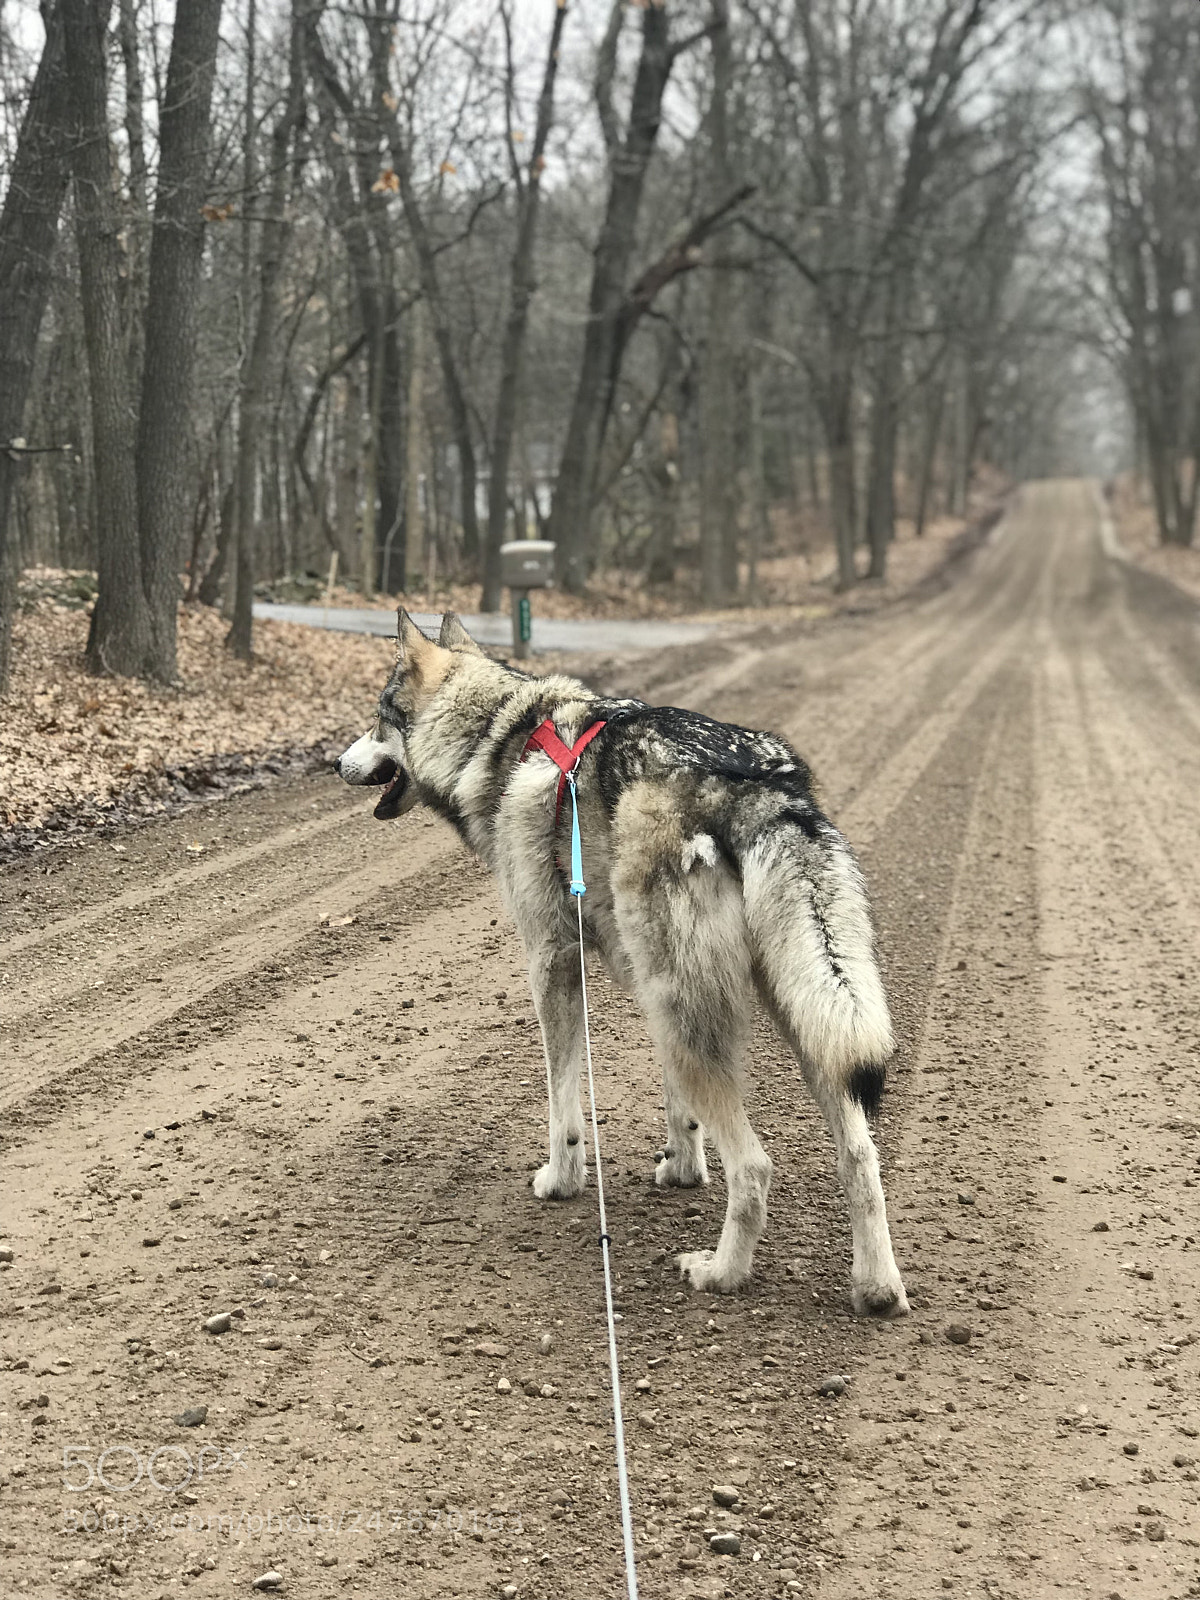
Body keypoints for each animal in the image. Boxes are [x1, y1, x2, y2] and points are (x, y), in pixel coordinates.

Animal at [336, 611, 907, 1315]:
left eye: (377, 719)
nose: (335, 763)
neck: (499, 735)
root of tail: (753, 784)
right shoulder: (645, 992)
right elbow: (678, 1107)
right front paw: (683, 1168)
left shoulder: (553, 961)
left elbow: (563, 1102)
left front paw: (561, 1180)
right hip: (793, 1021)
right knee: (859, 1154)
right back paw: (876, 1289)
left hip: (702, 1013)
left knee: (754, 1168)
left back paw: (720, 1273)